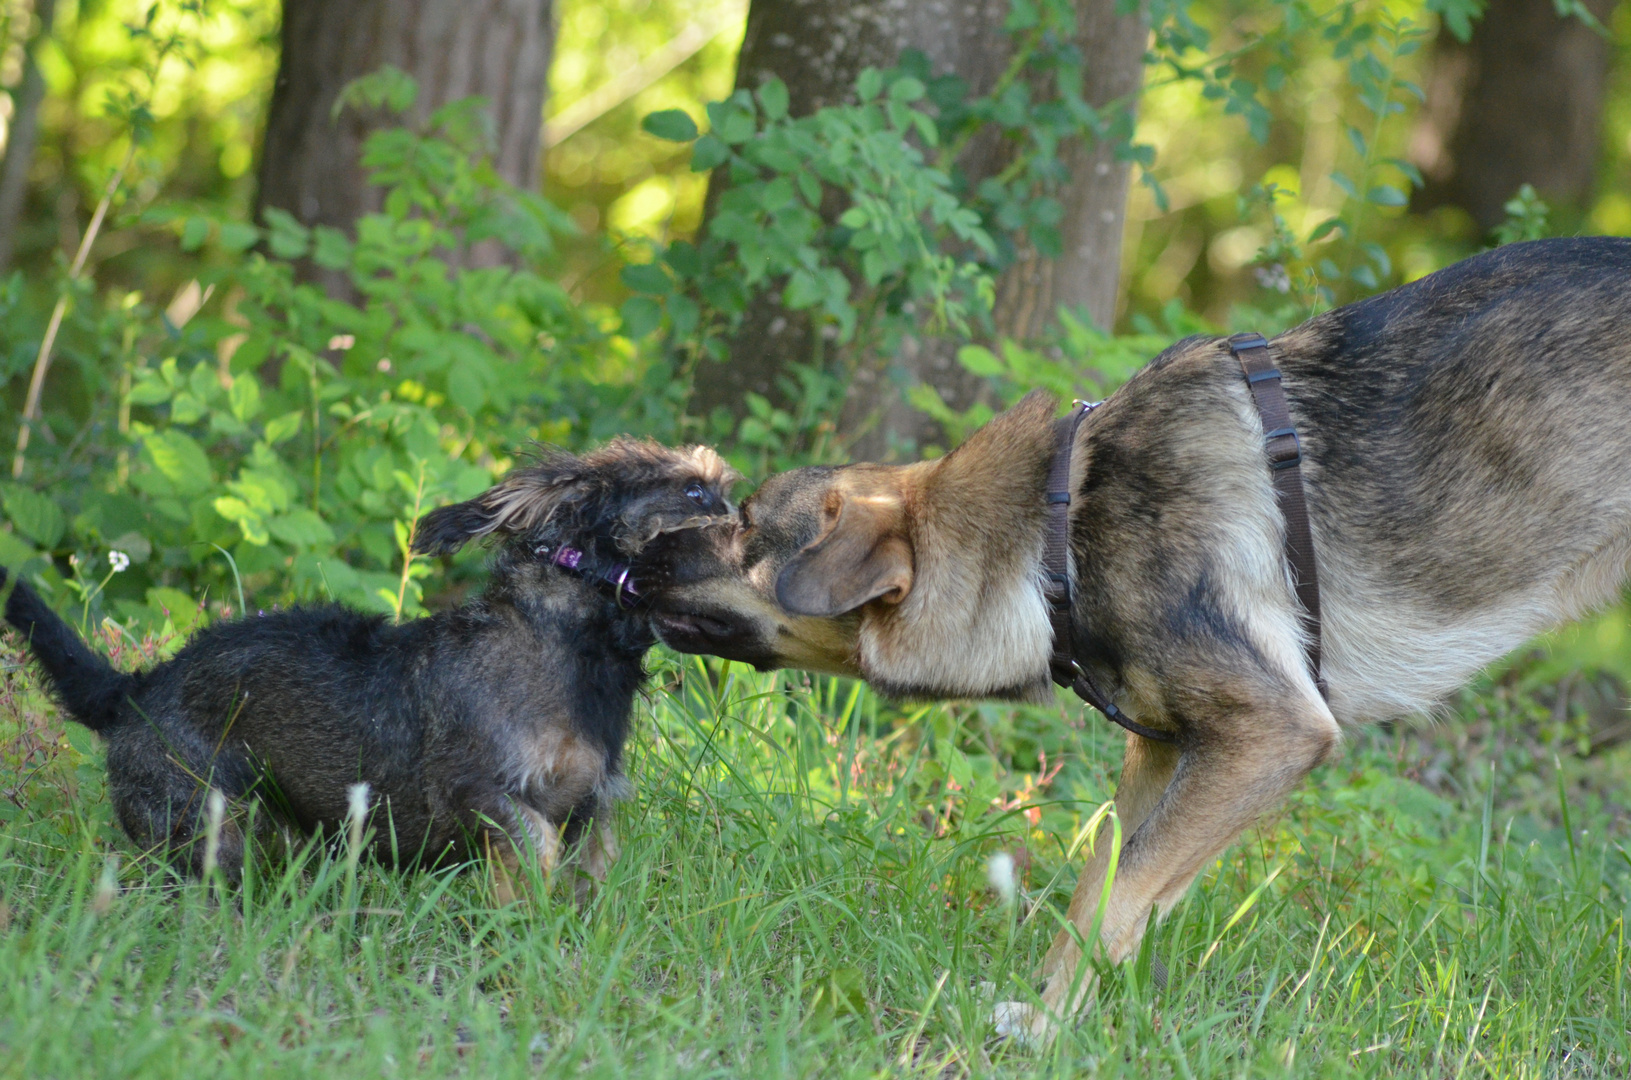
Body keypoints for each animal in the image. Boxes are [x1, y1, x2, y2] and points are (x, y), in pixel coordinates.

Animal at [0, 437, 737, 900]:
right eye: (695, 492)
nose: (740, 513)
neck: (567, 647)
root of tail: (134, 690)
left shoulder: (593, 812)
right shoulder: (488, 794)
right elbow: (535, 854)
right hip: (206, 827)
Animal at [645, 239, 1631, 1044]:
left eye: (740, 527)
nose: (630, 548)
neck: (1058, 532)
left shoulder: (1269, 734)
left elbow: (1117, 902)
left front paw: (1046, 1030)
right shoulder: (1159, 757)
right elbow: (1101, 892)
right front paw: (1049, 1007)